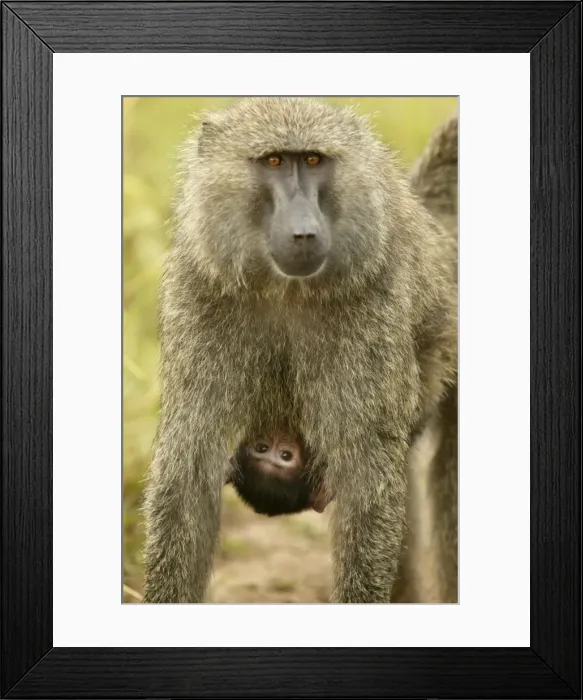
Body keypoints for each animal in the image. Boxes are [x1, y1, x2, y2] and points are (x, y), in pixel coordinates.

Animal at [142, 98, 458, 604]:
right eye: (273, 161)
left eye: (312, 160)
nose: (304, 232)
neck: (284, 288)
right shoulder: (200, 291)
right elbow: (186, 478)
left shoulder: (373, 301)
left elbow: (368, 490)